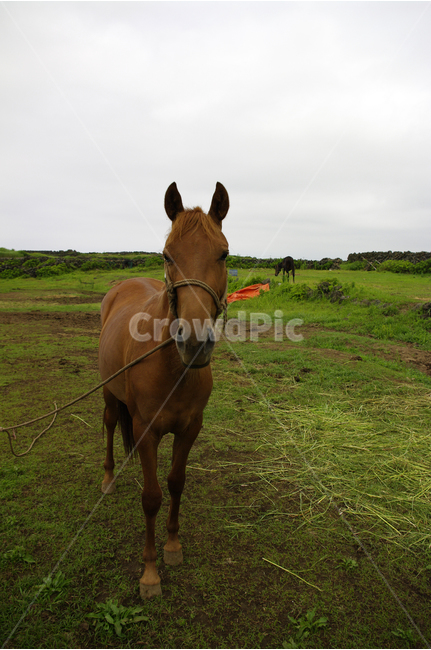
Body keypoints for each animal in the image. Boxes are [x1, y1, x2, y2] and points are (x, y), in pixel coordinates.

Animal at [98, 182, 230, 598]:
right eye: (168, 255)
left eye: (224, 254)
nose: (195, 341)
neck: (173, 369)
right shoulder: (147, 431)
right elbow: (151, 497)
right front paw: (150, 572)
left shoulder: (190, 428)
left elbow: (176, 484)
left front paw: (172, 546)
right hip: (109, 394)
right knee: (110, 423)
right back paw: (108, 478)